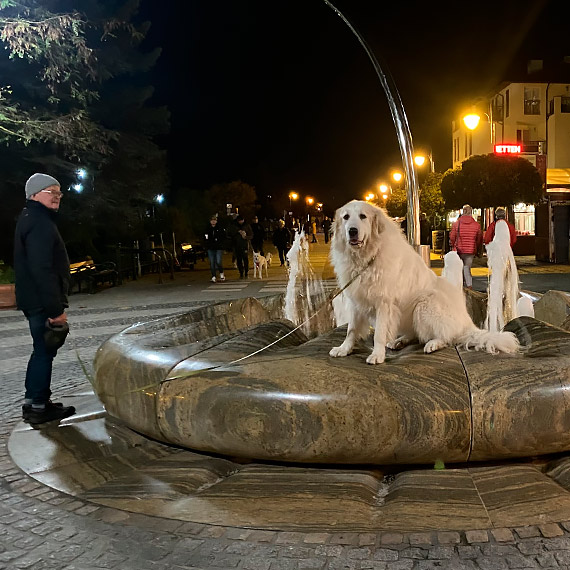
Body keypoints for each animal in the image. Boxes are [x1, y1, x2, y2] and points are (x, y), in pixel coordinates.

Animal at [328, 200, 520, 364]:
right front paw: (343, 349)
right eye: (346, 217)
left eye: (363, 216)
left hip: (423, 306)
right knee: (415, 334)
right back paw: (399, 341)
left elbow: (379, 334)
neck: (367, 257)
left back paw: (433, 344)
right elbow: (351, 330)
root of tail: (466, 323)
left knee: (446, 337)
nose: (352, 231)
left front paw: (377, 355)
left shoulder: (384, 303)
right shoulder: (356, 300)